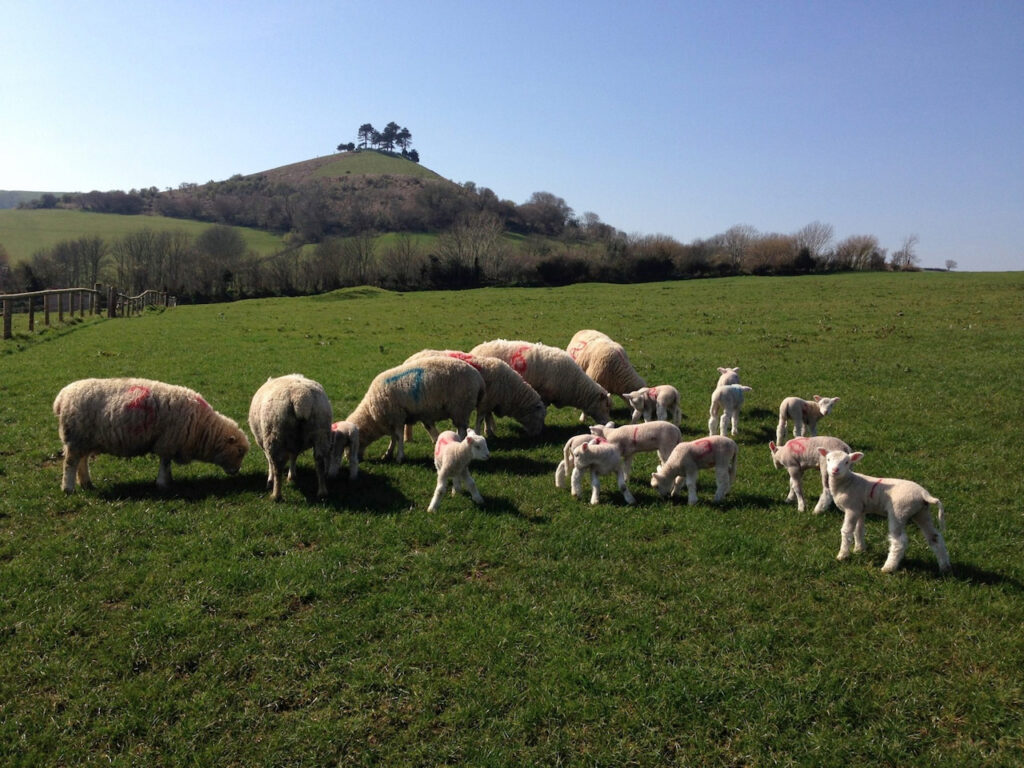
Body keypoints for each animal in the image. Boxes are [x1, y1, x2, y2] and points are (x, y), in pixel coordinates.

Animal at [53, 377, 249, 493]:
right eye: (239, 451)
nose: (237, 471)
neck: (203, 426)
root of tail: (61, 397)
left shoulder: (169, 442)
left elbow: (167, 464)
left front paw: (168, 481)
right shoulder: (168, 441)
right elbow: (165, 463)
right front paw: (162, 483)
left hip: (84, 439)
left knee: (82, 462)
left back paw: (86, 483)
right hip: (76, 437)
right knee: (70, 464)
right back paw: (68, 488)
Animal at [346, 356, 485, 463]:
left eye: (351, 444)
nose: (347, 458)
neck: (371, 414)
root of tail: (478, 378)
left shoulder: (397, 416)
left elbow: (399, 437)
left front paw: (399, 457)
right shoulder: (394, 420)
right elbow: (393, 438)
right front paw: (388, 454)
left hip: (460, 407)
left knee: (462, 432)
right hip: (460, 410)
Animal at [404, 350, 546, 438]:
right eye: (539, 417)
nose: (537, 435)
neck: (511, 390)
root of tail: (409, 359)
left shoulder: (489, 401)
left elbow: (488, 417)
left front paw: (490, 431)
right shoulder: (485, 402)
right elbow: (481, 418)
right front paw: (481, 432)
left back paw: (408, 438)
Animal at [469, 339, 612, 424]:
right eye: (605, 406)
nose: (610, 424)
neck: (575, 385)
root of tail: (474, 350)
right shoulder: (545, 395)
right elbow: (543, 409)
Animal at [820, 449, 951, 574]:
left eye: (847, 462)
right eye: (828, 459)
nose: (835, 470)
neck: (848, 482)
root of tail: (924, 494)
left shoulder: (852, 508)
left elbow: (846, 531)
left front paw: (842, 555)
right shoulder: (860, 509)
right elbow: (859, 530)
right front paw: (859, 549)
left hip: (899, 512)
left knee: (899, 542)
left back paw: (888, 568)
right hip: (922, 512)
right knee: (935, 537)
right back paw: (944, 567)